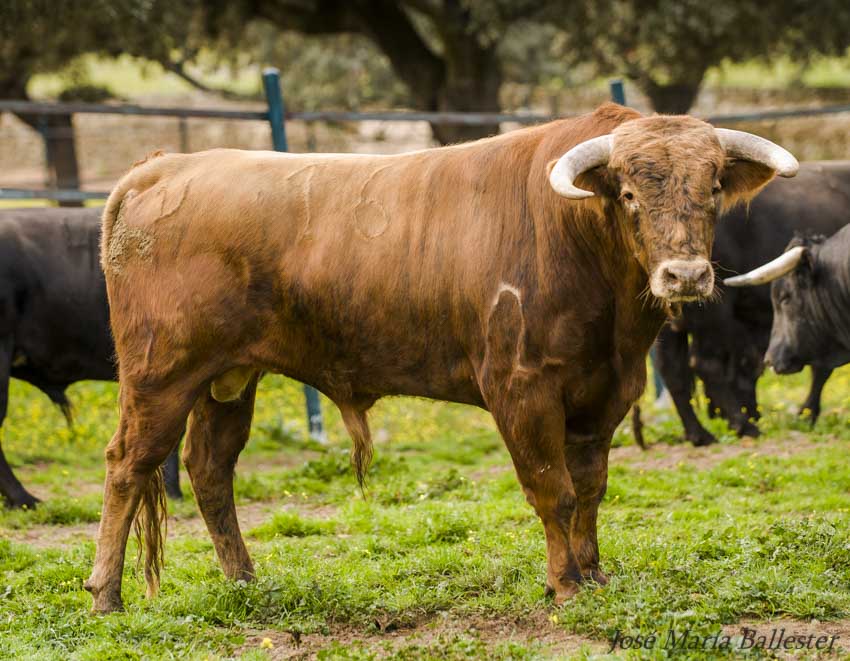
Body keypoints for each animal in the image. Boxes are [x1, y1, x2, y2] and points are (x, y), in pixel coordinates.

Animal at [84, 102, 796, 608]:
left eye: (713, 189)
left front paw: (593, 573)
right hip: (160, 374)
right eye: (627, 194)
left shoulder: (606, 392)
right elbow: (555, 490)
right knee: (128, 464)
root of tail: (163, 166)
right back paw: (107, 597)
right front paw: (565, 584)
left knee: (210, 468)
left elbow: (591, 489)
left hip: (228, 377)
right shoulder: (521, 389)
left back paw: (243, 581)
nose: (685, 276)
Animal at [644, 162, 844, 446]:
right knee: (706, 364)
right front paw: (806, 414)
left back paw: (700, 433)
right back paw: (743, 425)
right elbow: (819, 367)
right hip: (711, 313)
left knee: (672, 370)